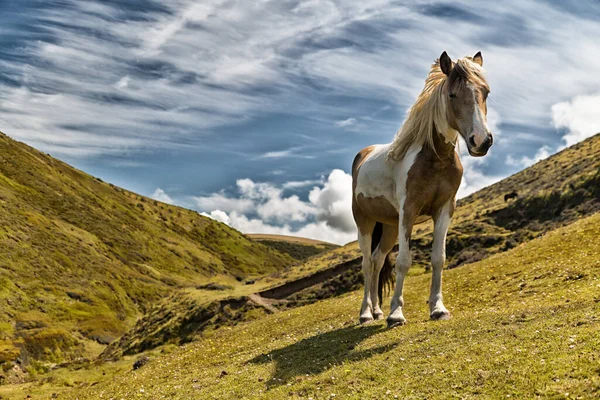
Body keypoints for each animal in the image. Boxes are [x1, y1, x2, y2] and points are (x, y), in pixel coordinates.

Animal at [352, 50, 492, 326]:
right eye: (452, 95)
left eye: (486, 92)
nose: (481, 141)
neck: (435, 158)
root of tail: (363, 154)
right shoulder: (409, 210)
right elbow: (404, 262)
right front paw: (396, 314)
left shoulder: (445, 209)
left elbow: (439, 258)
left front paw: (438, 308)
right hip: (365, 221)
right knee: (366, 264)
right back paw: (366, 314)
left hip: (389, 226)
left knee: (377, 261)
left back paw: (377, 310)